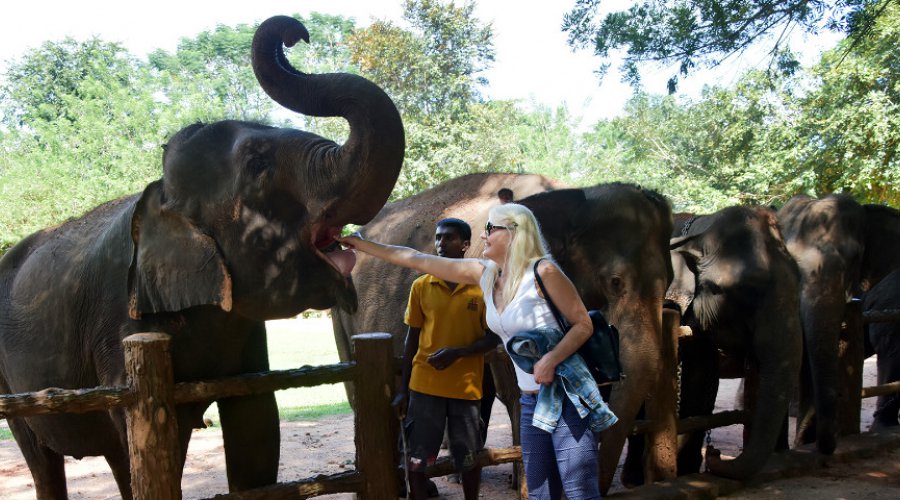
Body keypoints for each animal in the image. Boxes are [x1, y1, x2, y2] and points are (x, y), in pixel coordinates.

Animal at [0, 16, 404, 500]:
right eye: (258, 164)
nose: (296, 33)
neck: (160, 197)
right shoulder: (120, 327)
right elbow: (144, 439)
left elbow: (256, 420)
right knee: (42, 451)